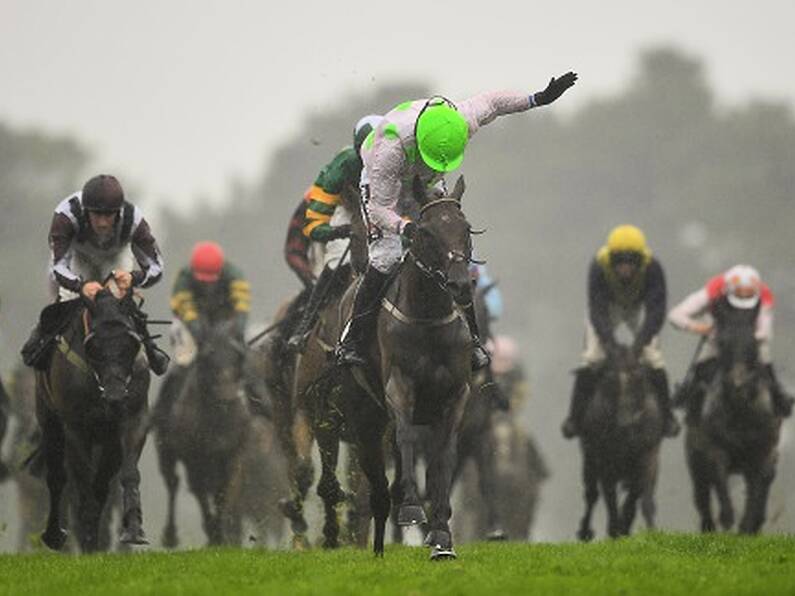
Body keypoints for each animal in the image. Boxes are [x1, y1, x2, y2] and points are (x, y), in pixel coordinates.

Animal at [33, 286, 151, 552]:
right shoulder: (75, 427)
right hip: (49, 419)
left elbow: (128, 473)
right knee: (57, 477)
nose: (115, 395)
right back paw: (55, 535)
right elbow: (82, 480)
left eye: (131, 343)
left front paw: (134, 530)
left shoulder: (132, 418)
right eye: (92, 347)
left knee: (101, 485)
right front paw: (85, 538)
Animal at [154, 318, 250, 548]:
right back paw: (170, 535)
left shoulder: (233, 453)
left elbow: (224, 490)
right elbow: (199, 490)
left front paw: (223, 532)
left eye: (238, 355)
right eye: (208, 356)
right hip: (165, 449)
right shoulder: (194, 457)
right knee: (173, 483)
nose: (227, 395)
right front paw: (214, 533)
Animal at [338, 173, 476, 560]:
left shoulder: (456, 395)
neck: (428, 316)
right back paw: (379, 546)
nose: (461, 284)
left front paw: (442, 535)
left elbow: (445, 457)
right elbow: (405, 438)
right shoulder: (400, 387)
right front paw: (413, 508)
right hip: (364, 419)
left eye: (466, 228)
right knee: (378, 487)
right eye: (426, 232)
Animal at [576, 346, 664, 544]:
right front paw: (615, 531)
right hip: (589, 461)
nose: (626, 425)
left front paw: (636, 528)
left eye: (639, 380)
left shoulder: (648, 457)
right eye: (609, 382)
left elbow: (640, 497)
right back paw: (586, 531)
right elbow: (609, 498)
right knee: (591, 494)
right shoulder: (604, 461)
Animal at [688, 302, 780, 536]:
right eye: (722, 342)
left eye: (754, 342)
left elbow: (757, 490)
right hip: (695, 461)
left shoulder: (762, 454)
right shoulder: (714, 449)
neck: (741, 413)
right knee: (702, 495)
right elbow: (719, 479)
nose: (738, 386)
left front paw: (746, 527)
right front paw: (728, 520)